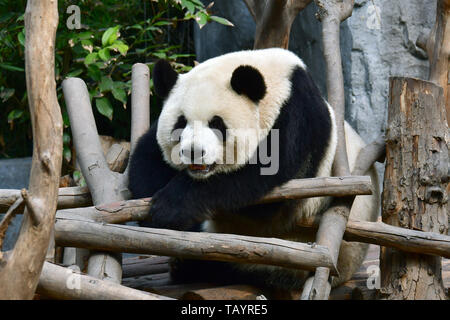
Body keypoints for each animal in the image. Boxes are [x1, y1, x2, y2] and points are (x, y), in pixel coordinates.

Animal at [127, 48, 380, 292]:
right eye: (180, 123)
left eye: (216, 124)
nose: (193, 152)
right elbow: (146, 157)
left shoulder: (299, 119)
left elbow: (263, 190)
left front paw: (171, 207)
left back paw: (188, 267)